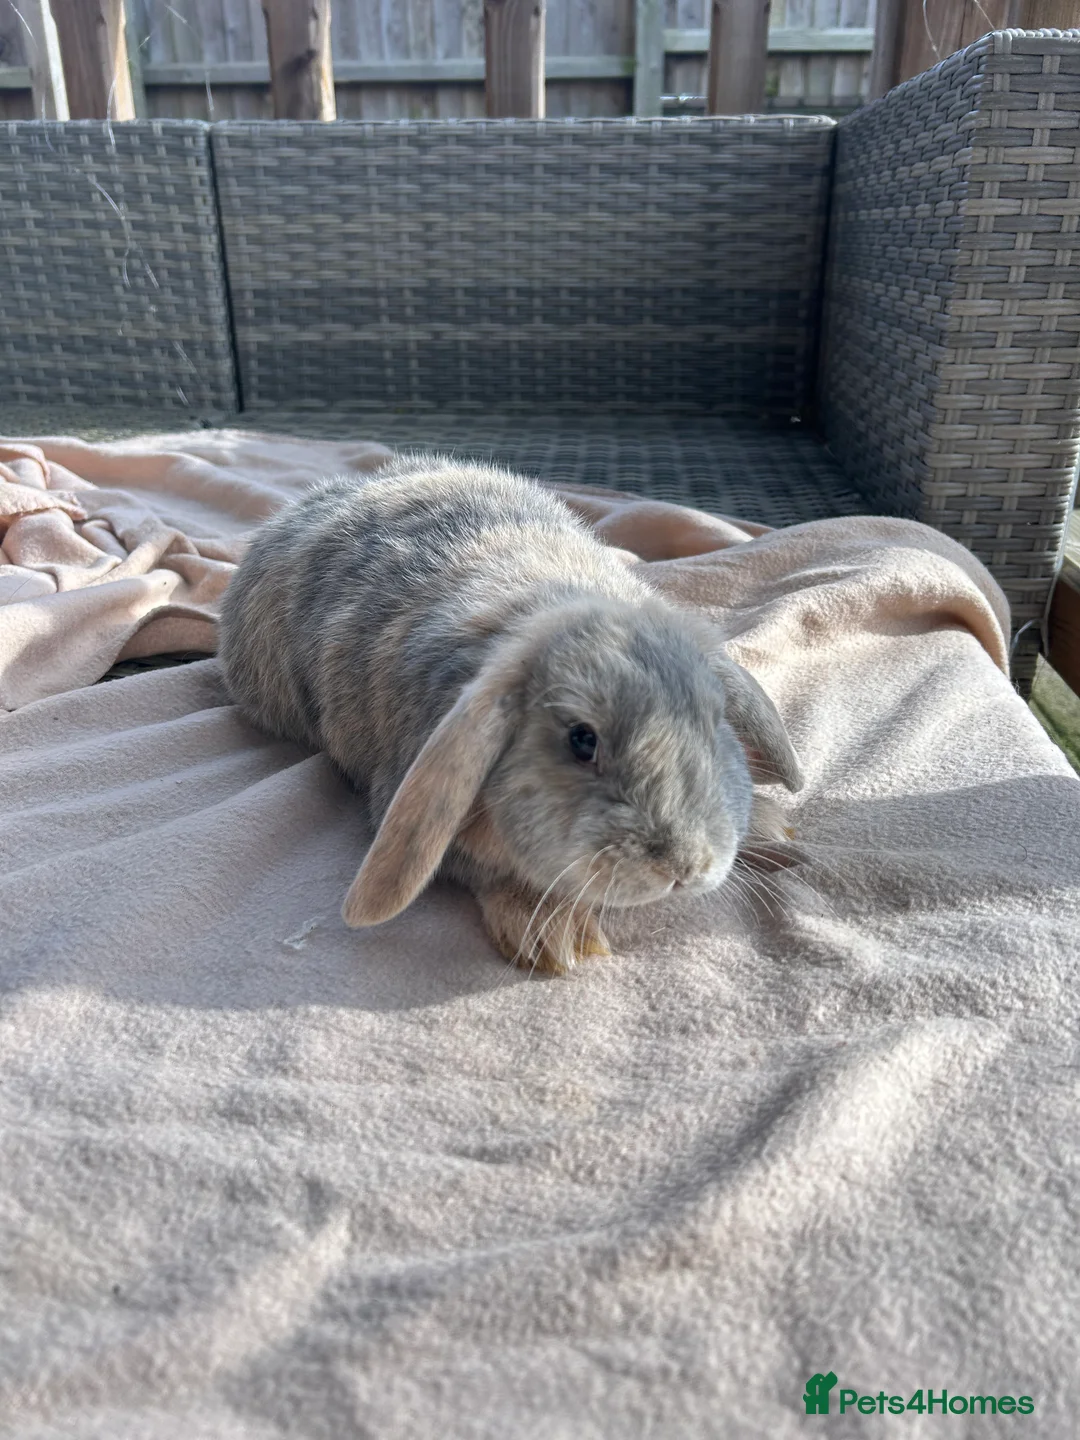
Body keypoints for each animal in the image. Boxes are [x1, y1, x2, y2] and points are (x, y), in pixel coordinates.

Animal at [218, 456, 803, 975]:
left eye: (716, 721)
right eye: (582, 740)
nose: (683, 868)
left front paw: (769, 827)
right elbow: (486, 871)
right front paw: (555, 936)